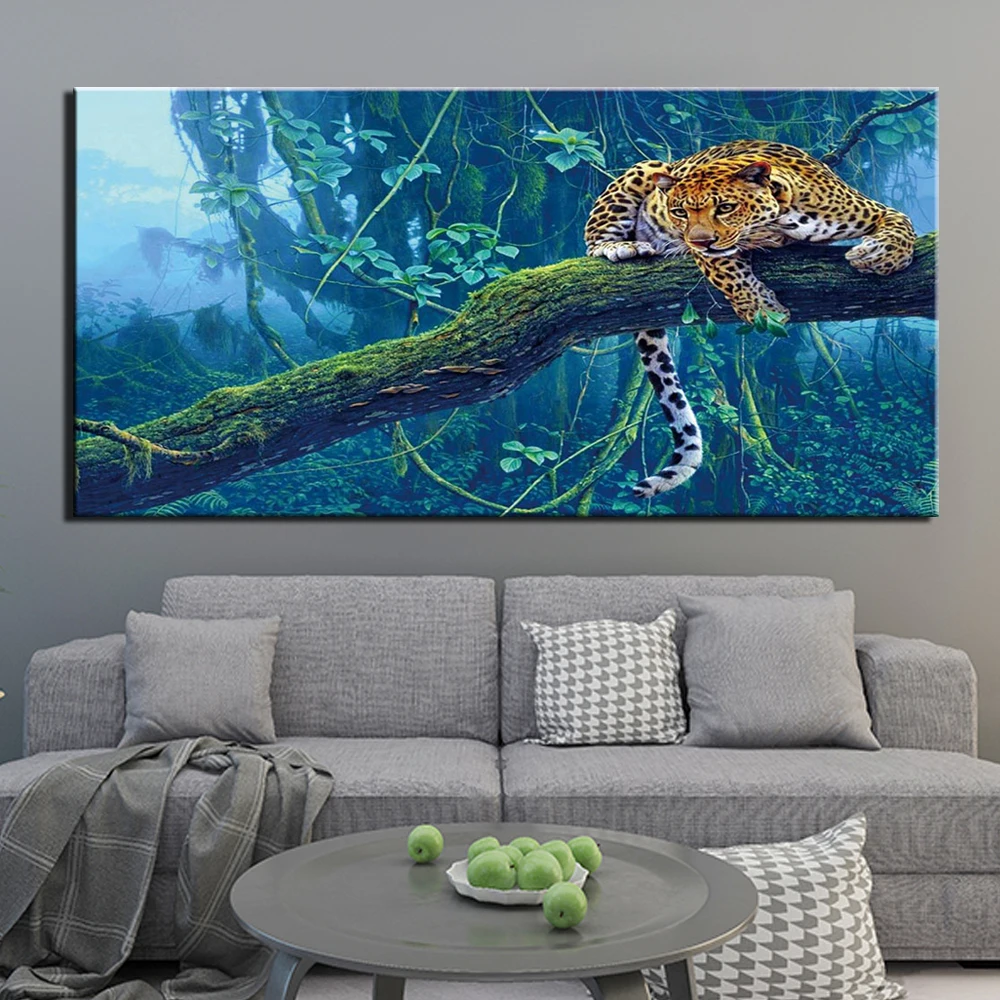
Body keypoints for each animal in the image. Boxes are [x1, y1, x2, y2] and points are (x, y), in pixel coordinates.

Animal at [584, 139, 916, 498]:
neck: (782, 218)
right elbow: (729, 271)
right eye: (679, 212)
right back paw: (621, 247)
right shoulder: (713, 254)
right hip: (646, 168)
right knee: (593, 243)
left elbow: (901, 222)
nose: (697, 240)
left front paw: (882, 256)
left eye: (726, 207)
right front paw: (762, 309)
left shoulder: (871, 209)